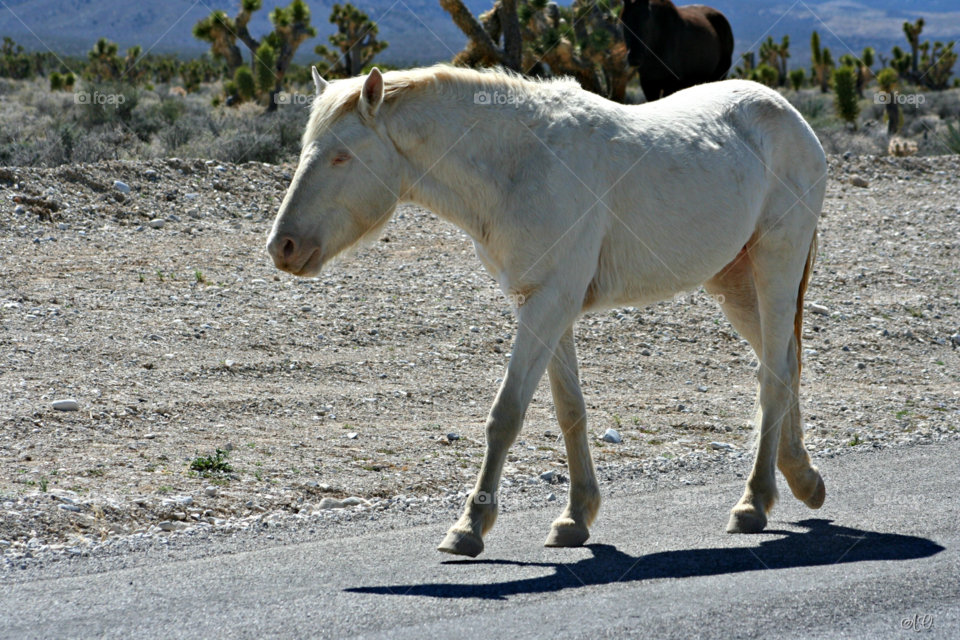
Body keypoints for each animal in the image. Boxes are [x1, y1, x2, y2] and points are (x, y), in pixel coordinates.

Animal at [266, 65, 828, 556]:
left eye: (342, 157)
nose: (282, 246)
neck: (520, 165)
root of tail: (790, 117)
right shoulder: (545, 305)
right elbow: (569, 411)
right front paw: (575, 516)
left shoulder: (548, 306)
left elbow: (506, 415)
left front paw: (469, 527)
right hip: (733, 283)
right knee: (786, 365)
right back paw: (802, 478)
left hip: (775, 266)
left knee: (774, 375)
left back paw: (754, 503)